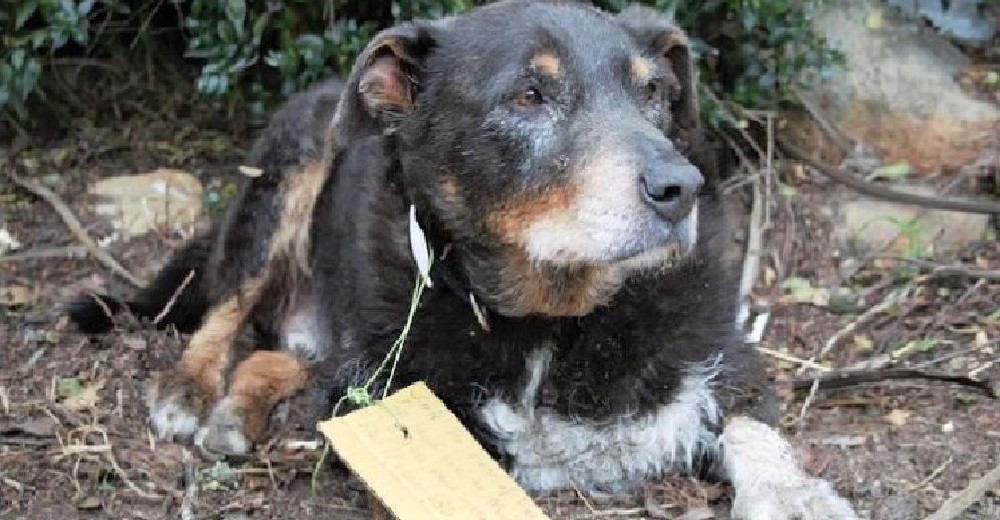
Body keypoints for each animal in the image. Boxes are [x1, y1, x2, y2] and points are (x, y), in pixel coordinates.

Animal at [70, 2, 860, 516]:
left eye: (655, 93)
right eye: (529, 95)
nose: (680, 188)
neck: (554, 320)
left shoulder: (729, 352)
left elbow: (755, 426)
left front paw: (796, 494)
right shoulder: (389, 393)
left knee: (282, 353)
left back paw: (239, 407)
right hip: (287, 174)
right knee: (227, 307)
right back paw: (192, 389)